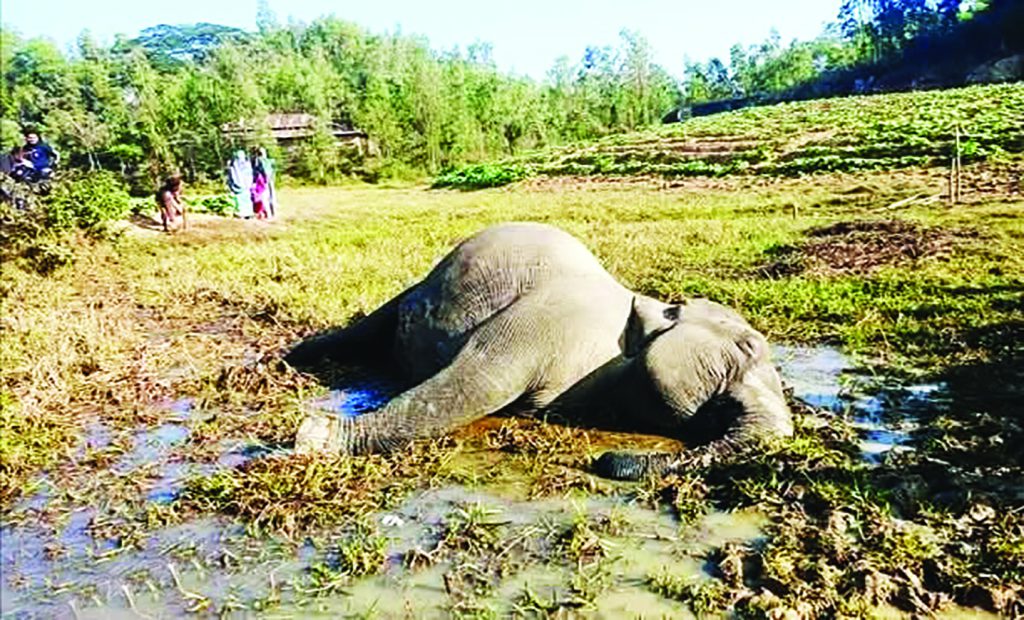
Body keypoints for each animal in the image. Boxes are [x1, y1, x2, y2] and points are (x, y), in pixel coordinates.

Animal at [284, 222, 794, 479]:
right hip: (417, 288)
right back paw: (293, 357)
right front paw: (314, 437)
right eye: (749, 347)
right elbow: (476, 384)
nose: (603, 461)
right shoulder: (546, 322)